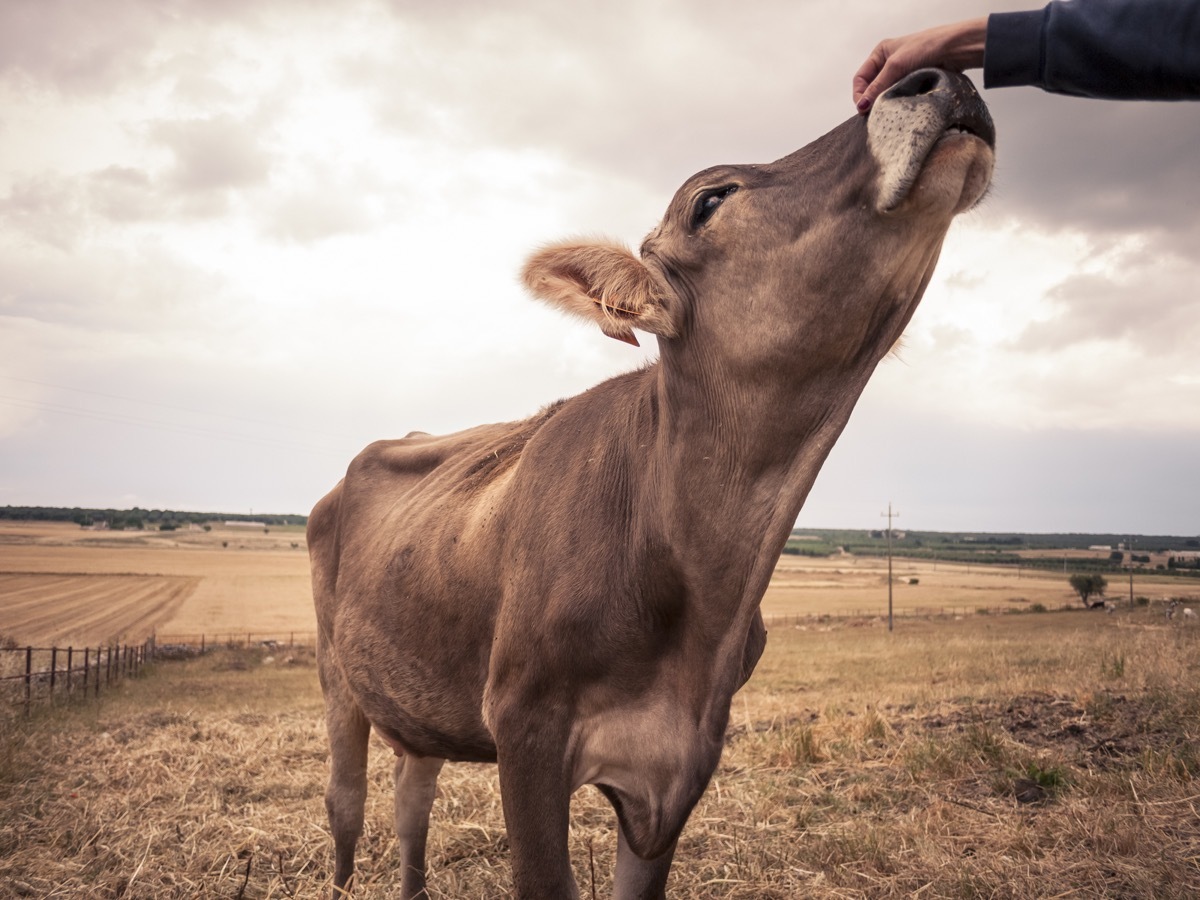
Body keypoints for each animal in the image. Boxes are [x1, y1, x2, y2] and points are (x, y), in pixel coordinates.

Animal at [307, 66, 993, 897]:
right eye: (709, 199)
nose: (939, 74)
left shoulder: (680, 761)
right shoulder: (526, 731)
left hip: (417, 691)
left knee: (413, 795)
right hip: (336, 672)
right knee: (347, 800)